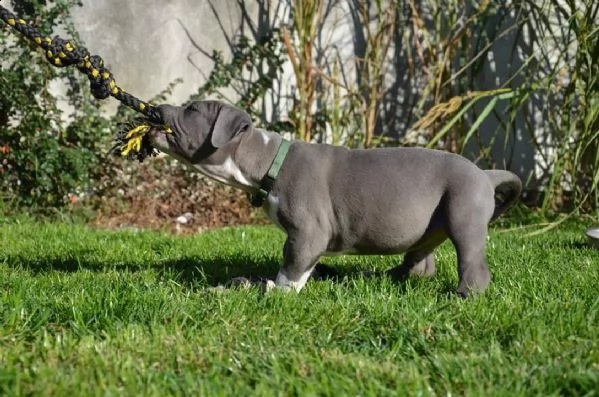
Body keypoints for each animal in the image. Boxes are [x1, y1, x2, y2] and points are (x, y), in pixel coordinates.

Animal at [148, 100, 524, 296]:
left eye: (192, 109)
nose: (158, 108)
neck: (268, 160)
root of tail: (484, 174)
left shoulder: (308, 232)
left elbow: (292, 266)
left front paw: (275, 290)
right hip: (428, 229)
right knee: (419, 264)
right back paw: (381, 278)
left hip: (464, 215)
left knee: (472, 265)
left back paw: (462, 296)